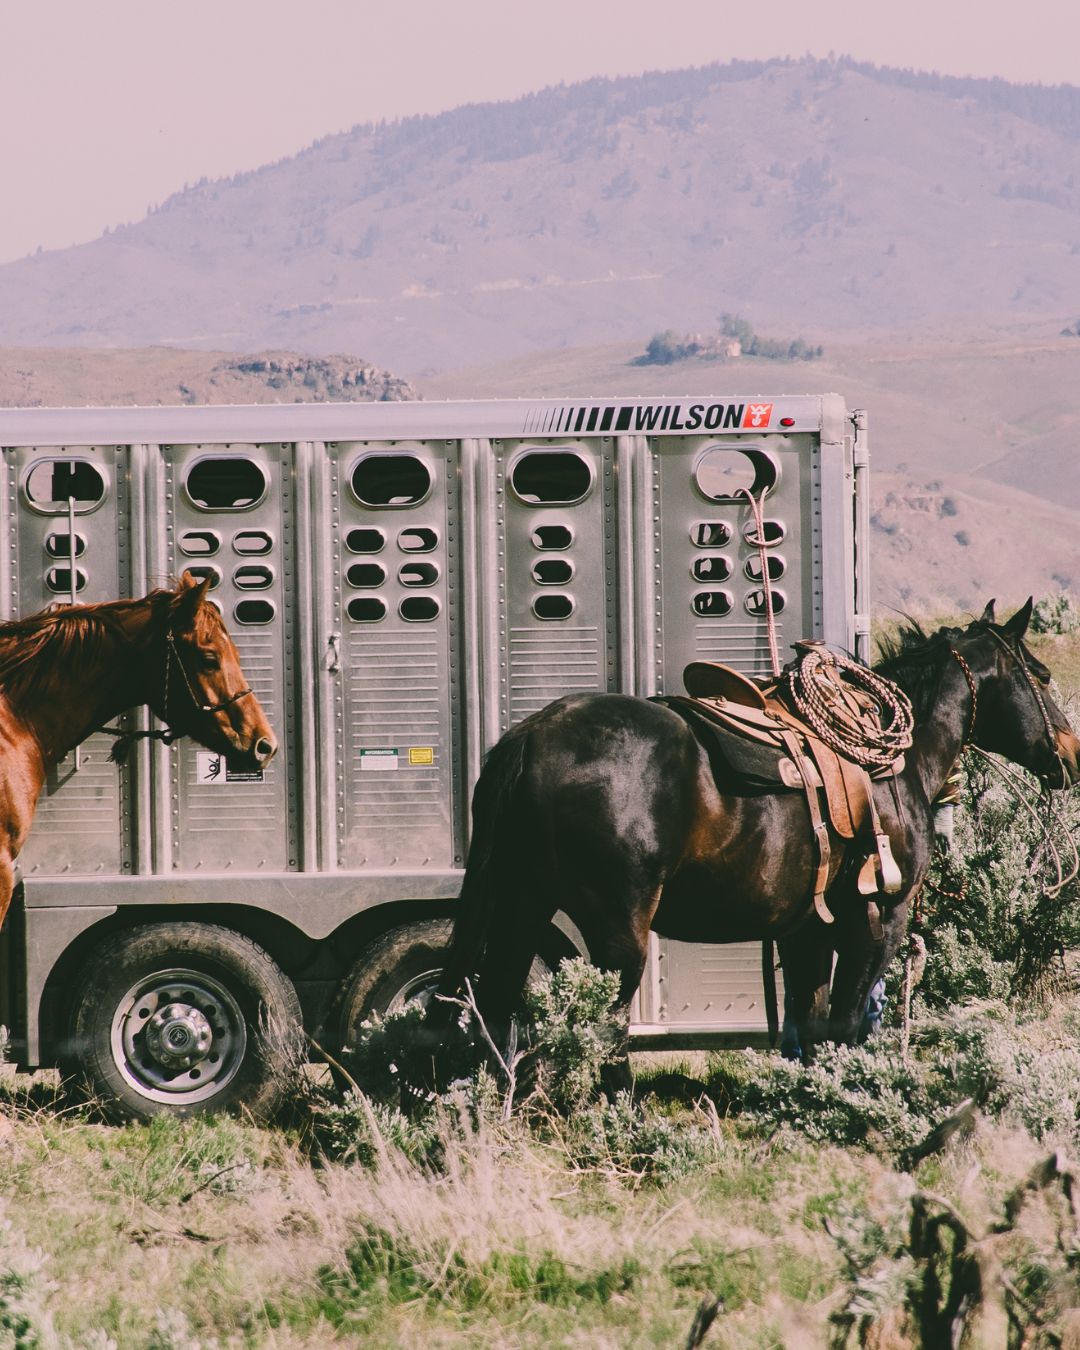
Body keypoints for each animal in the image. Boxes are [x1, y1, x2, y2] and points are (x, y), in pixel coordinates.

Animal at [420, 599, 1079, 1080]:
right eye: (1042, 675)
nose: (1071, 755)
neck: (899, 763)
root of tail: (532, 735)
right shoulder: (877, 921)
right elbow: (848, 1026)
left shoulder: (808, 930)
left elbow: (812, 1026)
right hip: (616, 938)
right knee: (594, 1033)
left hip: (522, 909)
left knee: (496, 1011)